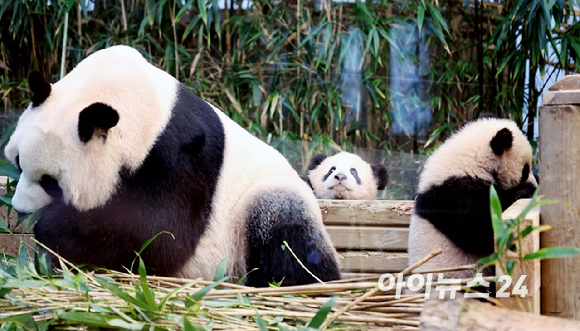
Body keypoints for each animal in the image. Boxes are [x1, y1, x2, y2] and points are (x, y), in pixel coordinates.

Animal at [4, 46, 340, 288]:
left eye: (50, 182)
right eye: (18, 163)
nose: (19, 209)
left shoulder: (182, 160)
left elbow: (161, 234)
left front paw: (51, 230)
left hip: (259, 209)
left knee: (287, 235)